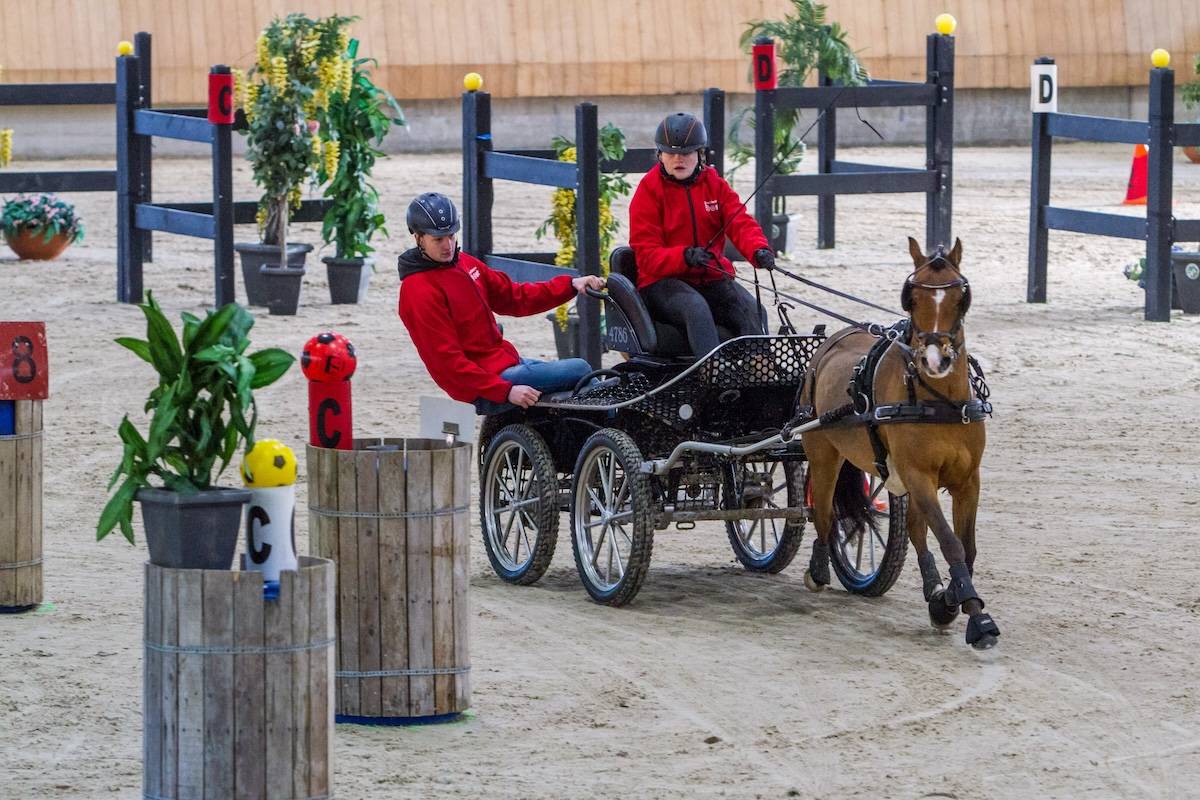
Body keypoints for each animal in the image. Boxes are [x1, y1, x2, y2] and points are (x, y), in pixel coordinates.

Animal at [798, 237, 1000, 649]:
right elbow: (950, 542)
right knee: (824, 514)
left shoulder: (967, 480)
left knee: (915, 530)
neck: (939, 401)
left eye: (961, 297)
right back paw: (818, 570)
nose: (936, 360)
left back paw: (933, 587)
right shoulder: (919, 475)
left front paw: (948, 602)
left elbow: (965, 545)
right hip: (825, 455)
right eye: (911, 298)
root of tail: (834, 339)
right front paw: (977, 618)